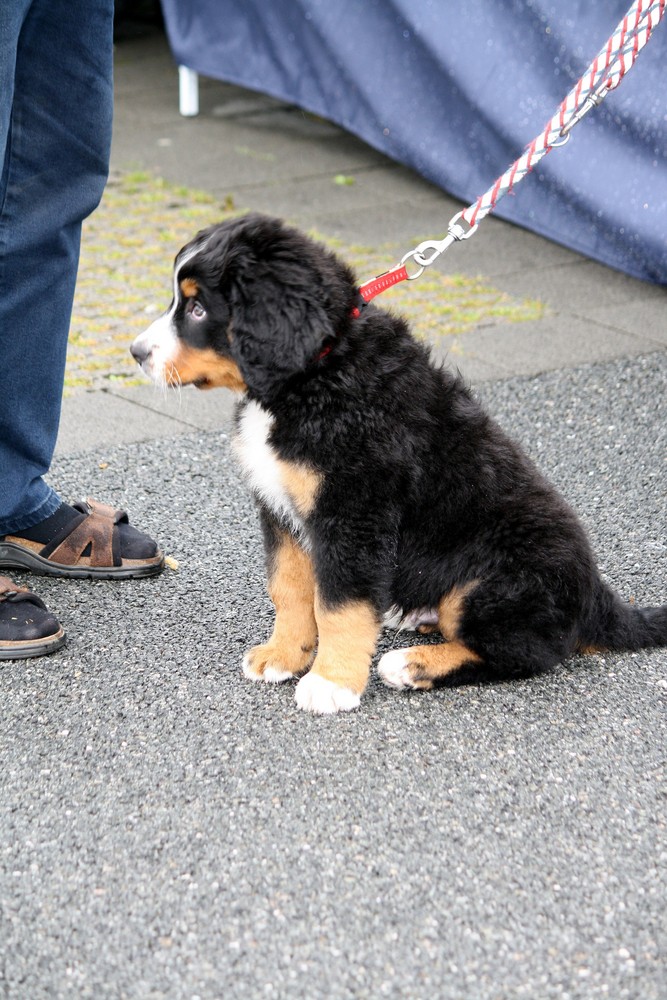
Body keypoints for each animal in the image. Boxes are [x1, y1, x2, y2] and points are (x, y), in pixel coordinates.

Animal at [130, 211, 667, 716]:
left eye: (197, 308)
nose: (135, 352)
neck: (315, 376)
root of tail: (596, 596)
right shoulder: (280, 507)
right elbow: (289, 586)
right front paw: (283, 655)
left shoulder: (354, 511)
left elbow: (339, 605)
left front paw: (332, 683)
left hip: (500, 576)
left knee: (528, 651)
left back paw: (412, 664)